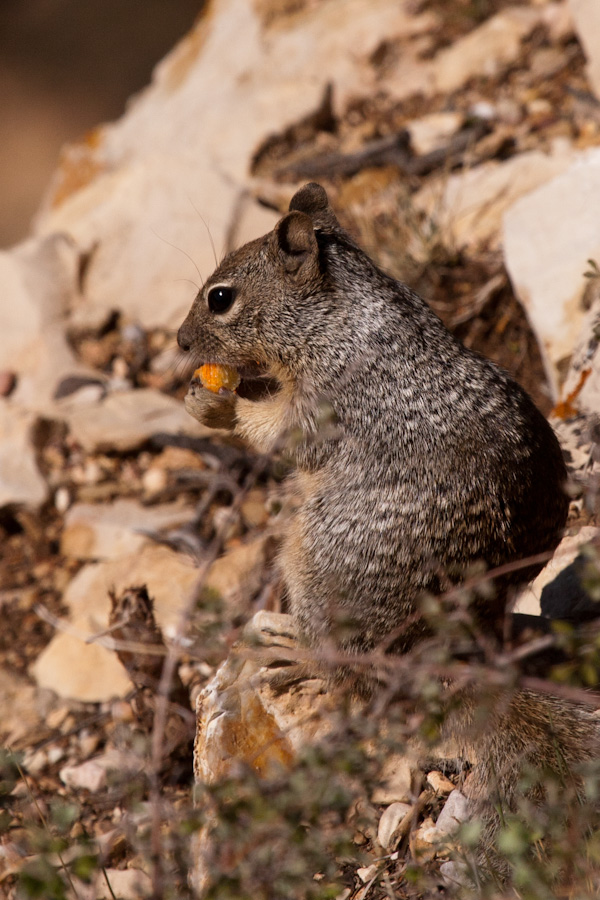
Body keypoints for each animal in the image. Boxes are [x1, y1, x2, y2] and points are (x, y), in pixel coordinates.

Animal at [177, 183, 599, 870]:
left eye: (220, 297)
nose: (181, 342)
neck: (337, 317)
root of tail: (449, 646)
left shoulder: (324, 402)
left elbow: (276, 433)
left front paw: (214, 405)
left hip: (313, 564)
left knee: (346, 670)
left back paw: (290, 649)